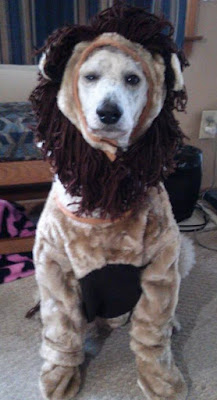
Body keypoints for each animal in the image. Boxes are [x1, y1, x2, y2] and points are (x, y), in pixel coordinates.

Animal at [29, 3, 194, 400]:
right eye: (90, 77)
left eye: (133, 79)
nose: (108, 112)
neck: (106, 180)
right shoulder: (52, 265)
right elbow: (61, 332)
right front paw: (61, 374)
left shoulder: (163, 259)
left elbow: (152, 333)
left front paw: (159, 377)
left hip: (184, 252)